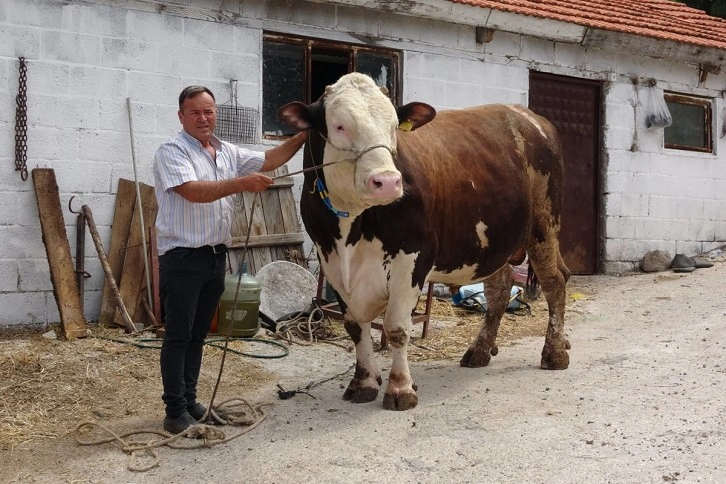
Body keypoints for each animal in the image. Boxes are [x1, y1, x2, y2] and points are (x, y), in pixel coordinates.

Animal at [282, 73, 572, 410]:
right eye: (339, 126)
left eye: (394, 126)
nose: (387, 182)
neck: (351, 227)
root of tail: (529, 116)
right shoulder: (331, 262)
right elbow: (355, 327)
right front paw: (363, 381)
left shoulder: (413, 257)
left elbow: (396, 327)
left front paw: (400, 388)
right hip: (493, 242)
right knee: (500, 289)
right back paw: (480, 350)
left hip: (544, 224)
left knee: (555, 282)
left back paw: (554, 352)